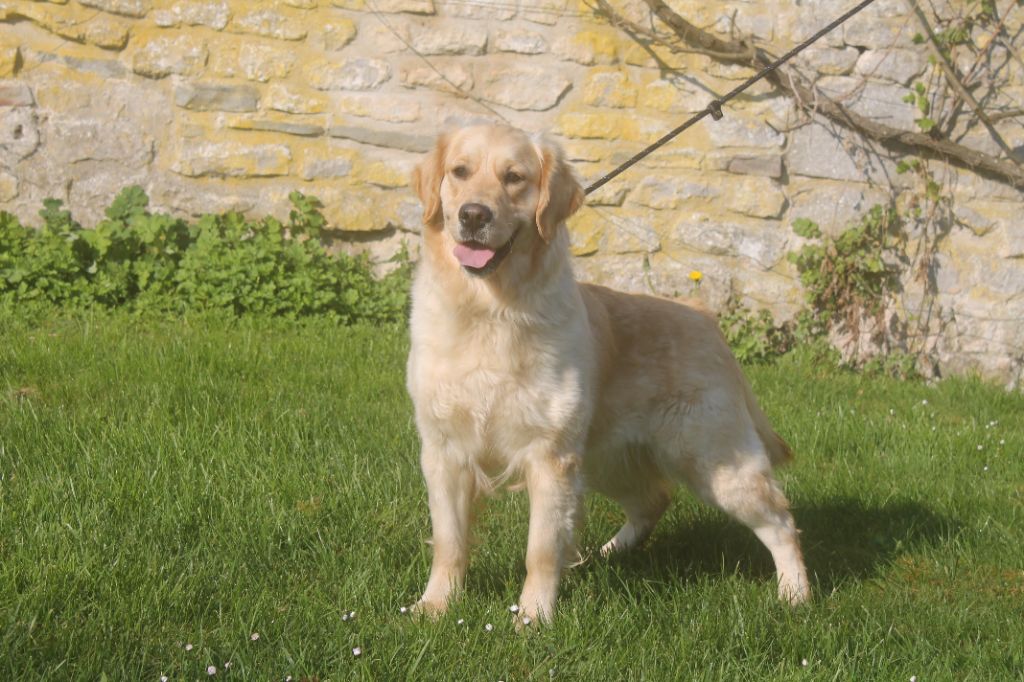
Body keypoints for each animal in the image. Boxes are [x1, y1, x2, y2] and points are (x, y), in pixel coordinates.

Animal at [403, 122, 811, 622]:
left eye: (514, 177)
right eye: (459, 171)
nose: (474, 215)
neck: (489, 310)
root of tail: (704, 316)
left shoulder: (551, 457)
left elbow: (540, 550)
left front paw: (534, 617)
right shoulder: (444, 452)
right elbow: (449, 542)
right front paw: (434, 606)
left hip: (715, 463)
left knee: (782, 521)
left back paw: (795, 595)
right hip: (607, 460)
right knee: (654, 498)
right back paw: (608, 553)